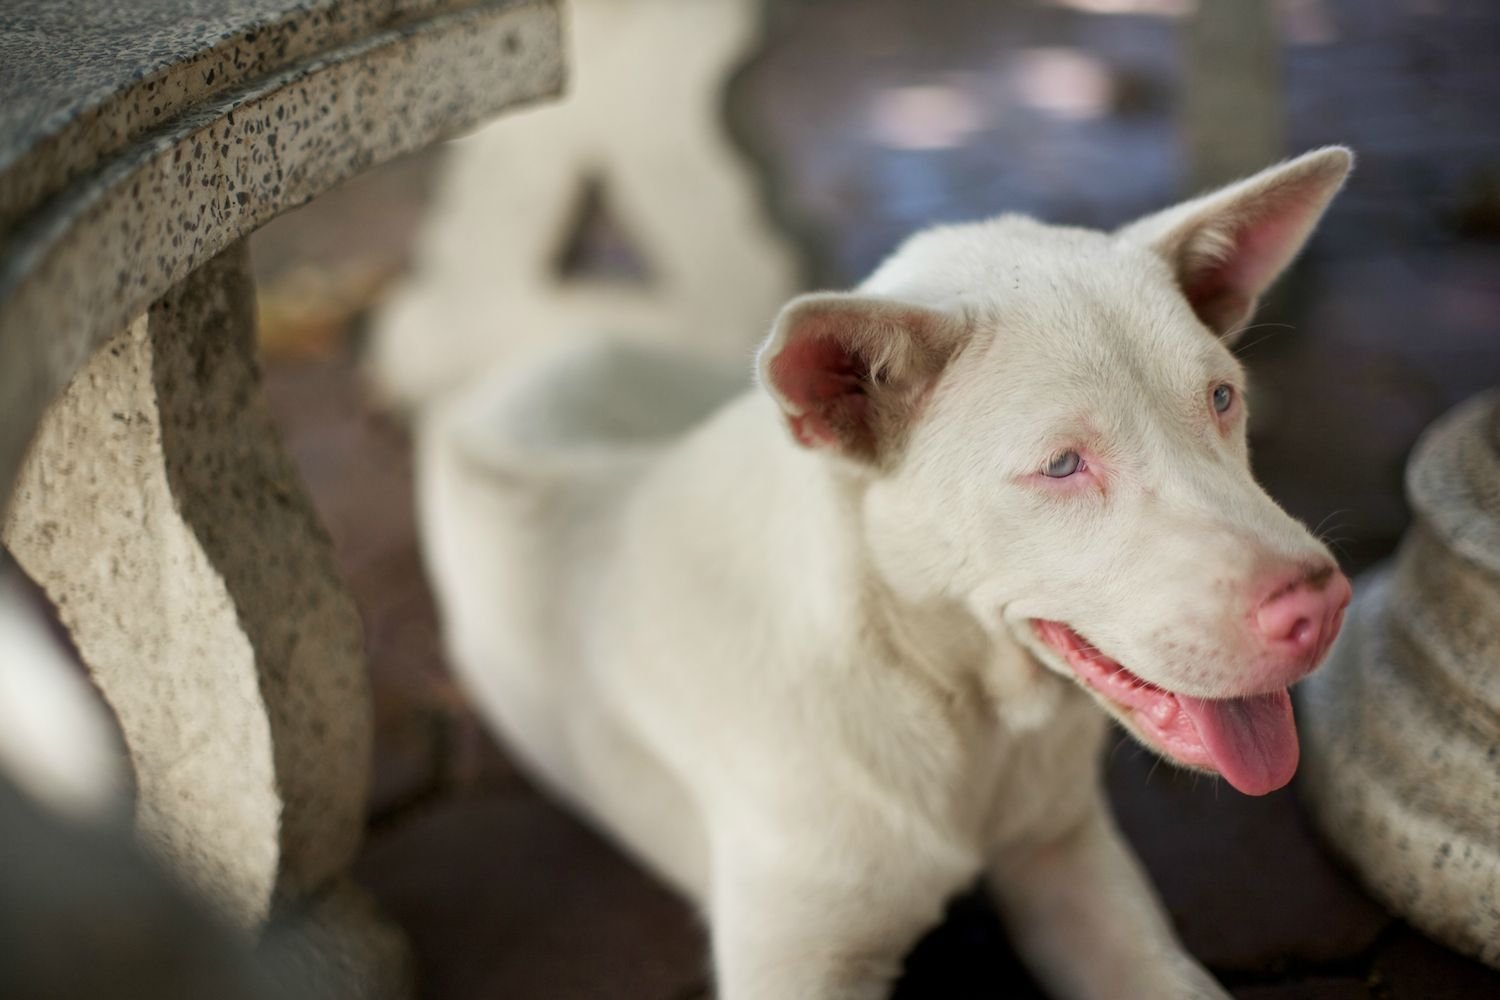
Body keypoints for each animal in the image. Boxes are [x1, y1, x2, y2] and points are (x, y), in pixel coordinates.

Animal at [414, 147, 1355, 999]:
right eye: (1062, 466)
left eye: (1222, 399)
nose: (1323, 607)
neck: (959, 704)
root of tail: (558, 341)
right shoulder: (799, 959)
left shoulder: (1066, 854)